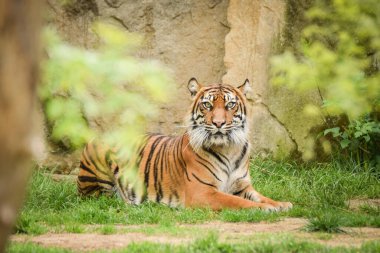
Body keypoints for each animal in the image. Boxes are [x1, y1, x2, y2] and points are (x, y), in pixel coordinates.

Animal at [75, 77, 292, 211]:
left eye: (230, 104)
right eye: (207, 105)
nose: (219, 123)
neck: (229, 148)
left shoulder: (242, 186)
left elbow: (260, 196)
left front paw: (281, 204)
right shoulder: (202, 192)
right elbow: (236, 201)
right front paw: (266, 208)